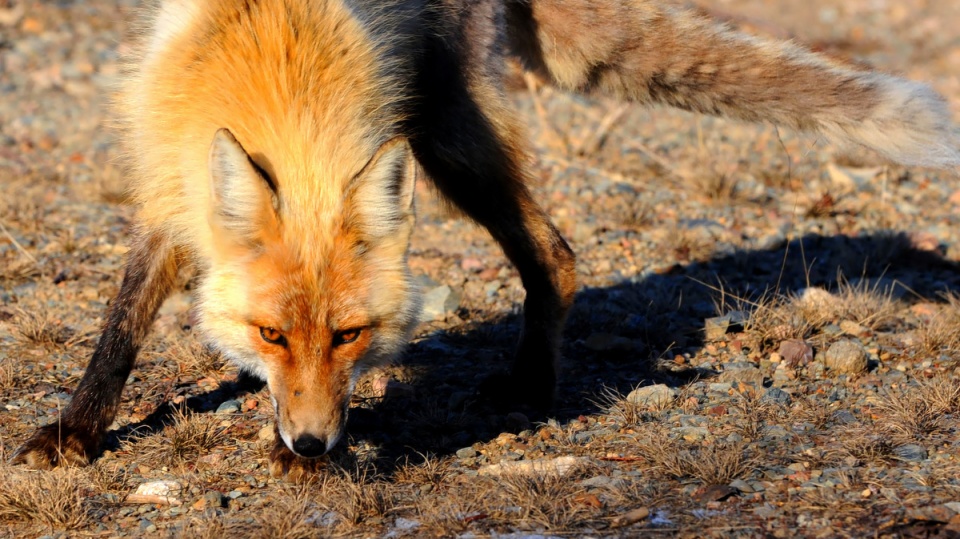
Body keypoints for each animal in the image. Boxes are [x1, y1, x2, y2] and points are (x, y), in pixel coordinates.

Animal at [15, 0, 960, 480]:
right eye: (271, 334)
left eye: (349, 336)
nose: (315, 444)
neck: (278, 67)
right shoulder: (168, 197)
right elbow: (121, 326)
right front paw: (75, 429)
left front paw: (298, 454)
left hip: (447, 136)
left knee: (557, 254)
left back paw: (534, 381)